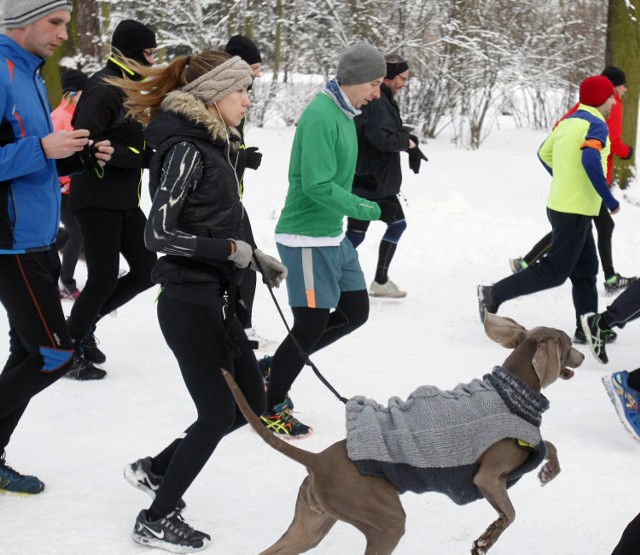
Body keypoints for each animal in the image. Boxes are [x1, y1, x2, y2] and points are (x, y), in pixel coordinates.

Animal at [224, 314, 584, 552]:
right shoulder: (489, 477)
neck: (513, 392)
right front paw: (487, 539)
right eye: (568, 343)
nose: (582, 354)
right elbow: (510, 512)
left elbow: (548, 445)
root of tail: (318, 460)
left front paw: (548, 472)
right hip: (385, 520)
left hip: (311, 524)